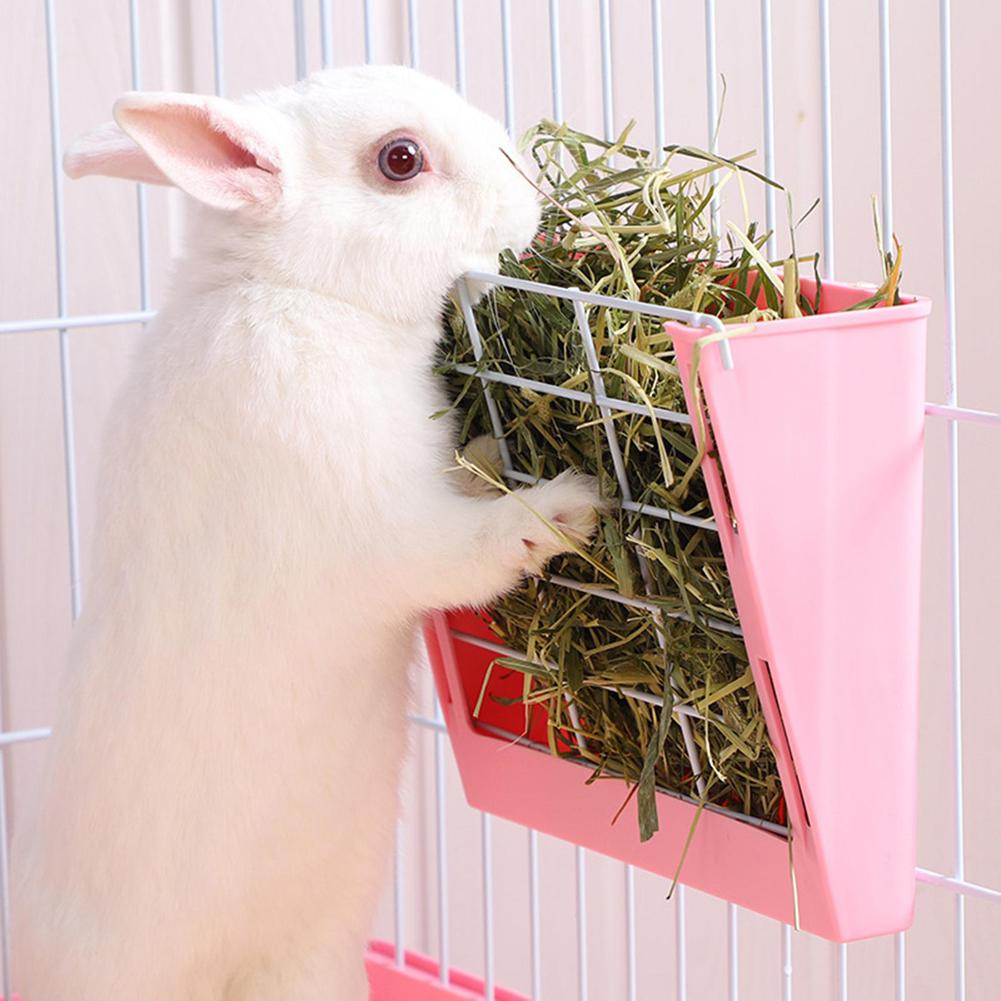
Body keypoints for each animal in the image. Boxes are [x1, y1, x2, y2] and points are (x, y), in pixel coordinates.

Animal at [12, 65, 601, 1001]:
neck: (299, 294)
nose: (531, 203)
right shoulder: (391, 530)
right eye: (400, 160)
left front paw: (483, 456)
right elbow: (469, 552)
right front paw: (565, 507)